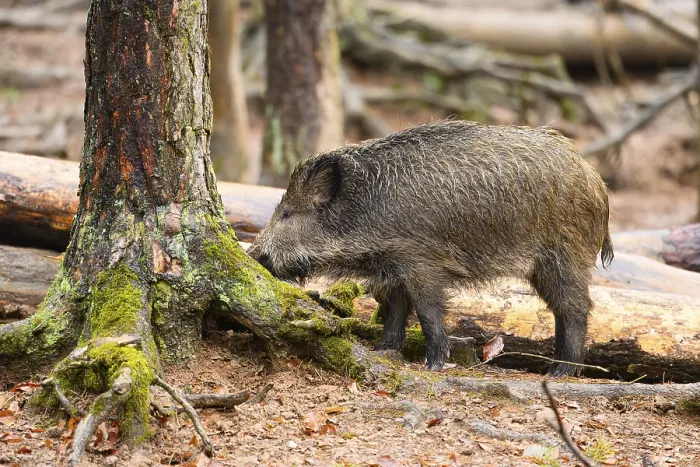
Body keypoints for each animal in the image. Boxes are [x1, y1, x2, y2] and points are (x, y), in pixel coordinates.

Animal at [248, 120, 613, 376]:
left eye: (286, 213)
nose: (253, 254)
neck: (364, 213)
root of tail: (597, 180)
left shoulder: (421, 263)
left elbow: (426, 310)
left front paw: (433, 364)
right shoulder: (393, 266)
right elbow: (395, 309)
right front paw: (382, 351)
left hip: (563, 256)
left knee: (576, 308)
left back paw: (561, 372)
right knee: (562, 309)